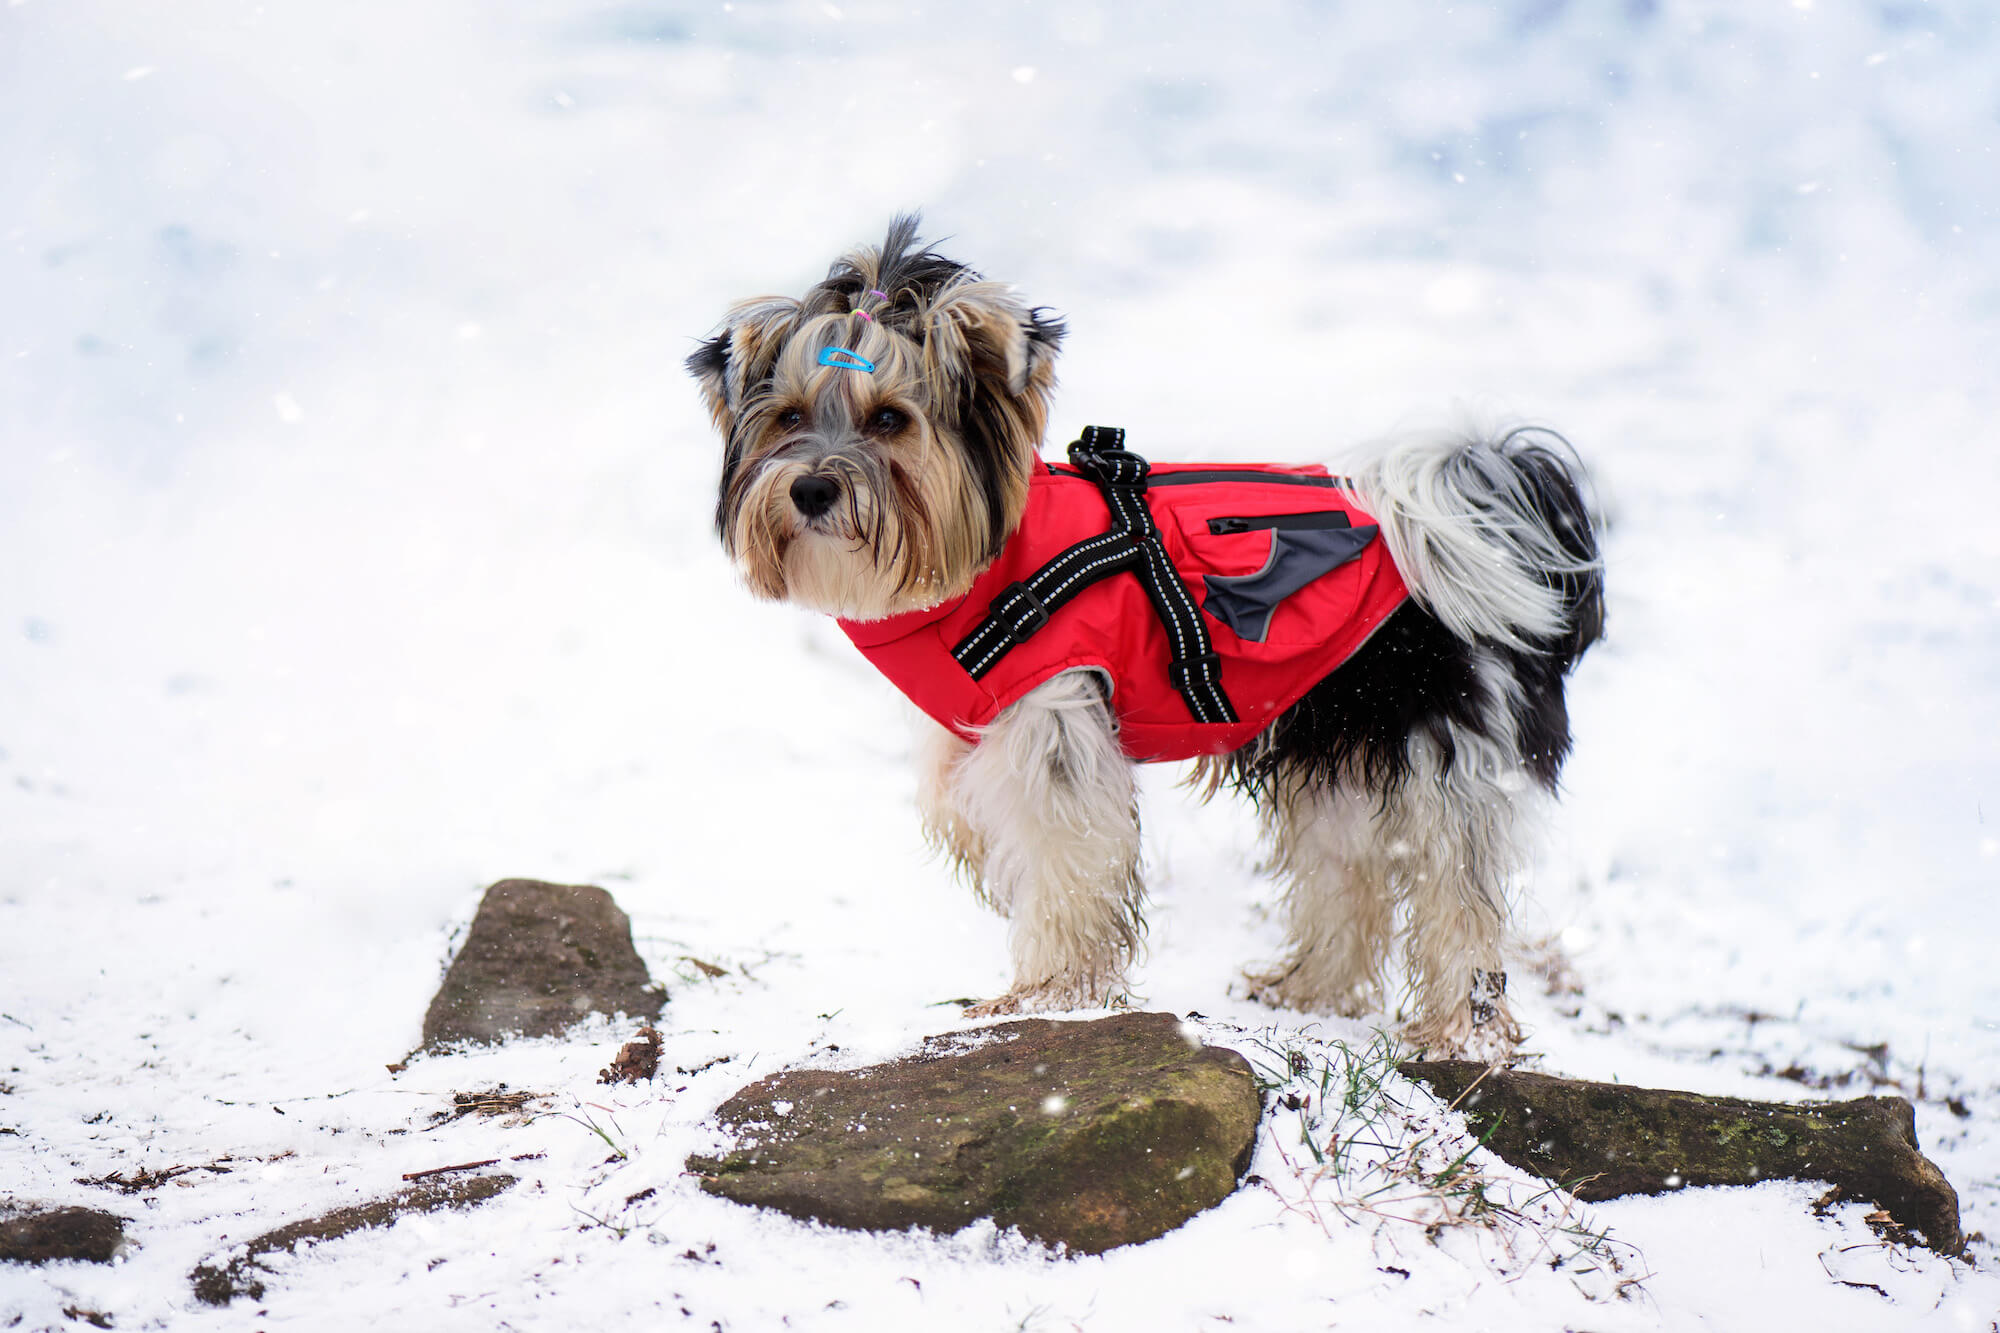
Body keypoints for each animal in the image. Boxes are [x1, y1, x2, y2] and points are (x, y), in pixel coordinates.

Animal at [696, 215, 1600, 1048]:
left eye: (890, 420)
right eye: (787, 418)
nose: (812, 489)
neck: (986, 564)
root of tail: (1495, 511)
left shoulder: (1057, 728)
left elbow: (1066, 865)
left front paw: (1047, 994)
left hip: (1441, 749)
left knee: (1454, 892)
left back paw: (1461, 1032)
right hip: (1337, 742)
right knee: (1348, 872)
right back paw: (1308, 992)